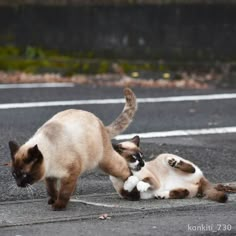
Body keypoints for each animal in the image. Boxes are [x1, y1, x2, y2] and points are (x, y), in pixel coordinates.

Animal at [8, 87, 138, 209]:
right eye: (14, 174)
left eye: (24, 175)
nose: (18, 184)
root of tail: (100, 123)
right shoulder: (51, 177)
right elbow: (52, 190)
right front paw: (53, 200)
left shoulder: (70, 173)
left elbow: (64, 192)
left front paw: (58, 206)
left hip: (106, 162)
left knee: (125, 170)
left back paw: (132, 194)